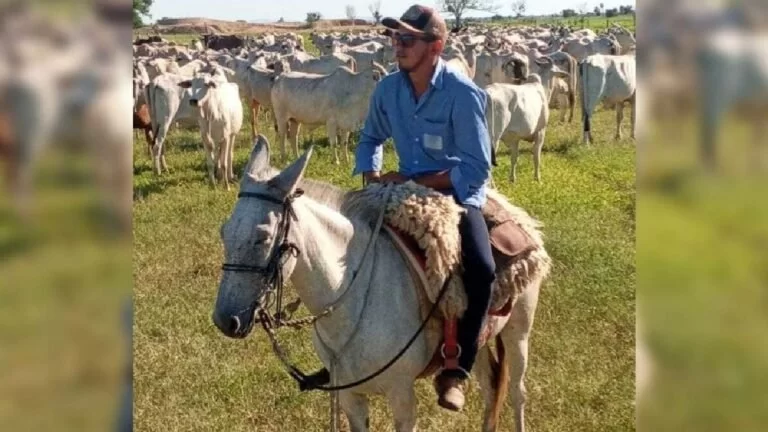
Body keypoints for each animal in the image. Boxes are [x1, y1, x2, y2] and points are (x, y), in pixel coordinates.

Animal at [212, 135, 549, 432]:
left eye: (263, 237)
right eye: (224, 231)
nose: (225, 320)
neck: (351, 297)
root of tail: (517, 215)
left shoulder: (402, 396)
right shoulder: (350, 396)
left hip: (518, 331)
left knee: (516, 393)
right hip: (479, 340)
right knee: (490, 387)